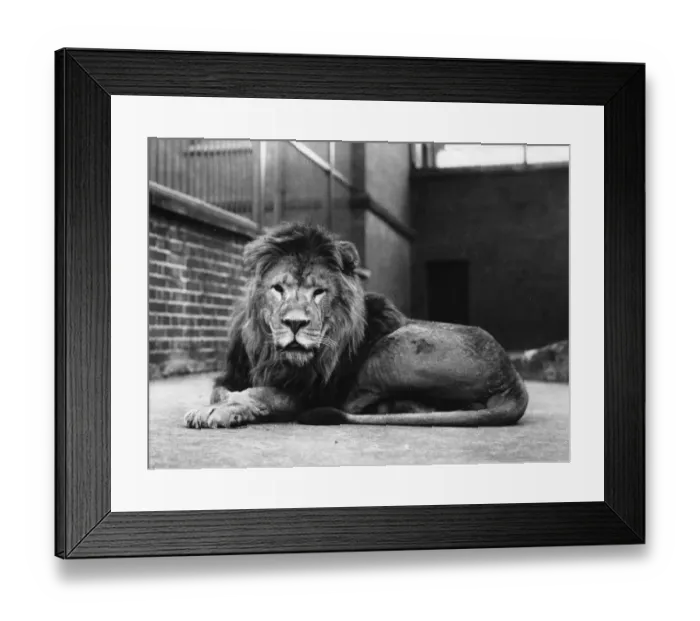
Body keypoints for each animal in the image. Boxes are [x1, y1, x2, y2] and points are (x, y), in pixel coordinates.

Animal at [184, 222, 528, 429]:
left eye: (319, 292)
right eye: (278, 289)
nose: (295, 323)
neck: (270, 354)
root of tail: (513, 377)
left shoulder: (314, 392)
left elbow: (261, 393)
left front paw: (217, 411)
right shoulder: (233, 374)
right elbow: (222, 391)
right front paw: (222, 405)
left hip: (392, 347)